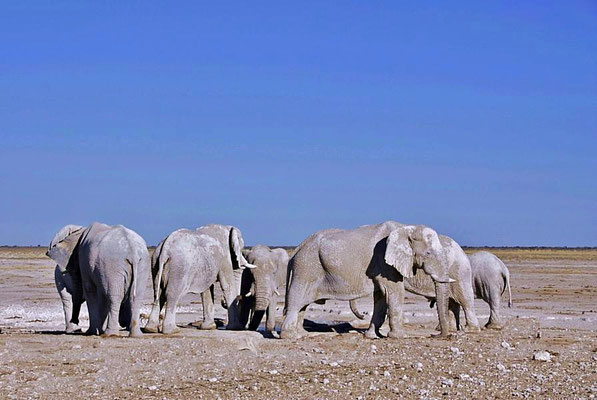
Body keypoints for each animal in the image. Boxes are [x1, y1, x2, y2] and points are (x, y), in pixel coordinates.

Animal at [282, 220, 454, 340]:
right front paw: (399, 337)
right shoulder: (384, 262)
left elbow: (381, 297)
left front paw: (373, 336)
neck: (406, 228)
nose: (435, 335)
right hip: (306, 268)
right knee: (297, 300)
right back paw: (292, 336)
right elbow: (394, 292)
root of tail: (299, 247)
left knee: (302, 305)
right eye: (428, 253)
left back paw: (303, 334)